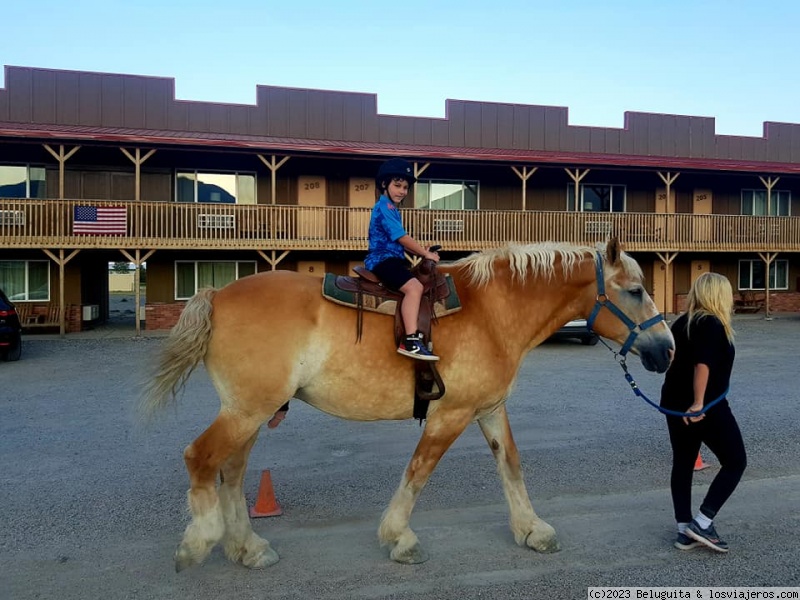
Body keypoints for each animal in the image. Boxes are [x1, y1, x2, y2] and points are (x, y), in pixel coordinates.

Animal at [141, 238, 672, 572]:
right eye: (636, 290)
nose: (666, 349)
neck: (493, 310)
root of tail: (218, 294)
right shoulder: (450, 414)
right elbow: (419, 470)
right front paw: (399, 537)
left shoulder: (488, 409)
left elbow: (511, 466)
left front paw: (532, 530)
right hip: (246, 411)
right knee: (201, 458)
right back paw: (200, 540)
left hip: (249, 412)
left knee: (230, 471)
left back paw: (247, 548)